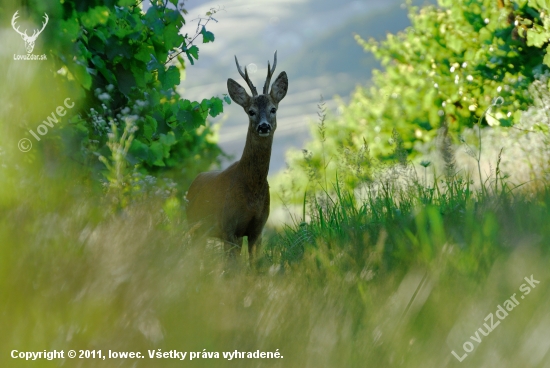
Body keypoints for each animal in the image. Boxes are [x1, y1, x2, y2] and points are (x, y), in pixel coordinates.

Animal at [185, 51, 288, 262]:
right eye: (251, 111)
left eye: (273, 109)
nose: (263, 126)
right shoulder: (228, 227)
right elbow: (231, 268)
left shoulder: (257, 229)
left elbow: (254, 265)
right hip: (193, 225)